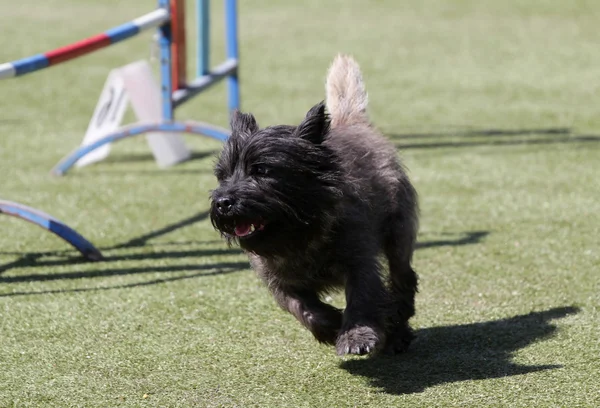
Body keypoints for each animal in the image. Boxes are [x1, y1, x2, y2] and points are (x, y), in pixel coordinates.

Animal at [210, 55, 418, 356]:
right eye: (222, 175)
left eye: (261, 170)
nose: (223, 202)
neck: (301, 230)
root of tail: (353, 122)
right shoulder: (278, 280)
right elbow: (301, 307)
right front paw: (331, 324)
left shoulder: (359, 259)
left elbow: (363, 298)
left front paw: (356, 335)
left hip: (399, 235)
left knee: (403, 279)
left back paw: (398, 326)